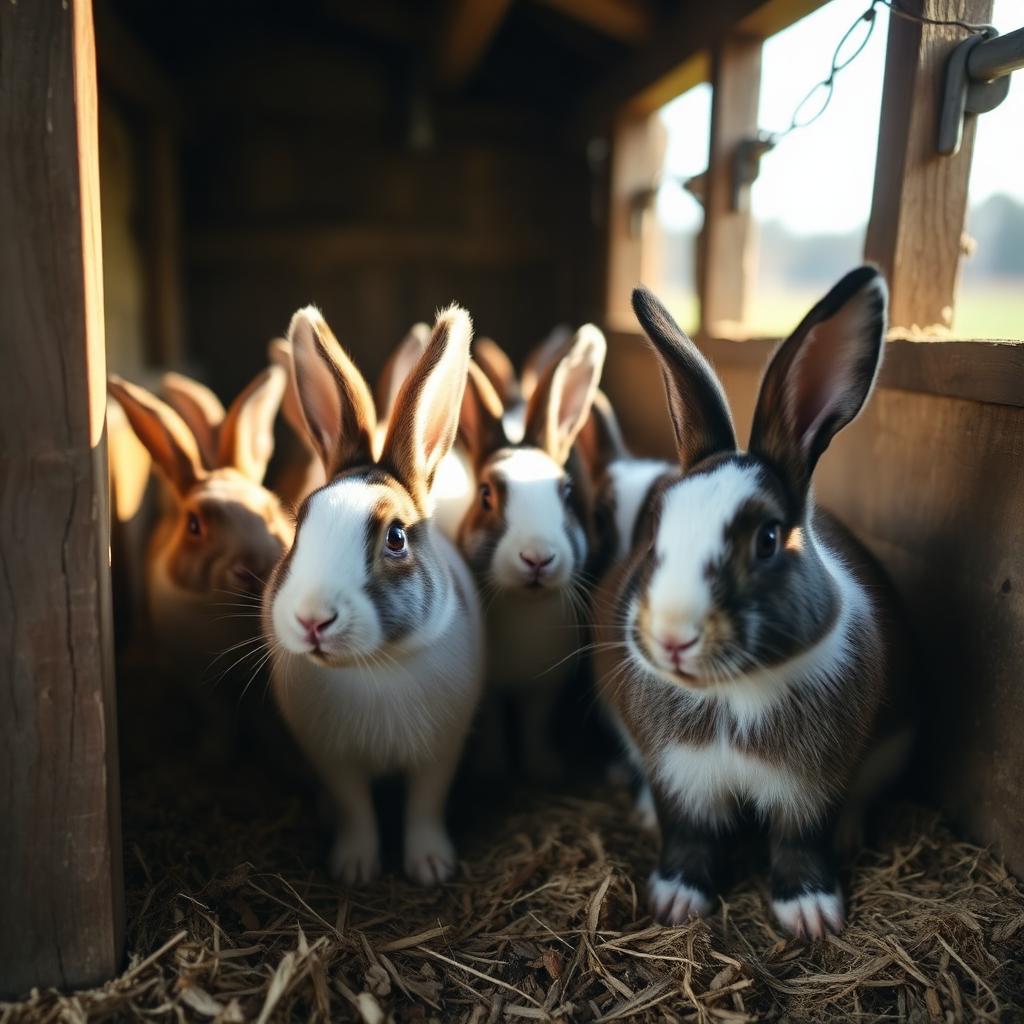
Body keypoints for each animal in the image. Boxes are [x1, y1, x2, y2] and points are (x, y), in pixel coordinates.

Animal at [263, 304, 483, 887]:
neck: (374, 668)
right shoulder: (333, 760)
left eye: (397, 538)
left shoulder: (440, 753)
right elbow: (354, 808)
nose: (313, 619)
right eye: (299, 525)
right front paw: (355, 868)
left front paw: (430, 866)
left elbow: (424, 806)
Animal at [456, 325, 606, 779]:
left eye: (568, 493)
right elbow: (491, 722)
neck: (526, 604)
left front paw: (544, 769)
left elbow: (535, 724)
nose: (537, 558)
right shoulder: (487, 690)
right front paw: (491, 768)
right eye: (486, 494)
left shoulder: (544, 689)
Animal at [594, 267, 914, 939]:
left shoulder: (812, 785)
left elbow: (801, 842)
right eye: (656, 529)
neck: (733, 694)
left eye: (767, 539)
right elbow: (688, 836)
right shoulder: (680, 777)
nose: (672, 637)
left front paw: (812, 915)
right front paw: (675, 902)